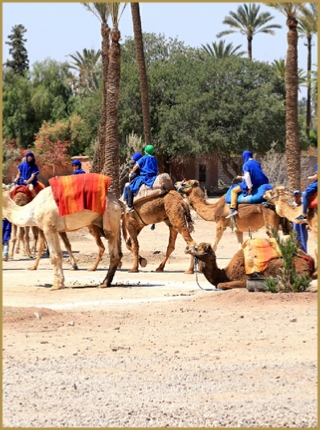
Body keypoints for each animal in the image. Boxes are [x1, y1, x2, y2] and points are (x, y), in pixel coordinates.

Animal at [185, 242, 316, 288]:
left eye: (197, 247)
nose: (186, 248)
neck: (225, 273)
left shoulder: (244, 279)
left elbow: (220, 285)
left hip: (297, 266)